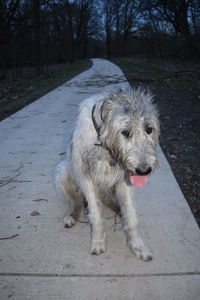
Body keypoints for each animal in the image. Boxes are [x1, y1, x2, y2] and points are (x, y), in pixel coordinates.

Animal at [55, 86, 160, 260]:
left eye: (149, 129)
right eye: (125, 132)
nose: (144, 170)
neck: (103, 145)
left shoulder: (125, 179)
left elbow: (131, 215)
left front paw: (137, 246)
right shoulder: (86, 178)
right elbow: (95, 215)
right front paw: (98, 241)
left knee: (106, 198)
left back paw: (117, 208)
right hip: (62, 172)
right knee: (76, 200)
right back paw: (73, 215)